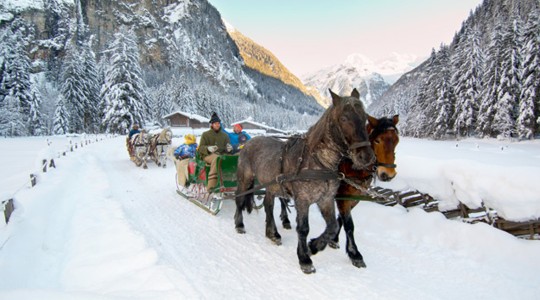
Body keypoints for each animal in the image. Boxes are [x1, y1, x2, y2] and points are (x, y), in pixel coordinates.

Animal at [232, 89, 376, 274]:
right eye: (344, 118)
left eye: (364, 118)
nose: (366, 157)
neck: (318, 162)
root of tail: (250, 141)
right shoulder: (303, 200)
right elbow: (303, 228)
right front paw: (305, 258)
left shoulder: (326, 200)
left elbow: (333, 227)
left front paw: (314, 246)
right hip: (245, 179)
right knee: (239, 199)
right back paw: (239, 224)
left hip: (271, 185)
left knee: (268, 205)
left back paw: (273, 234)